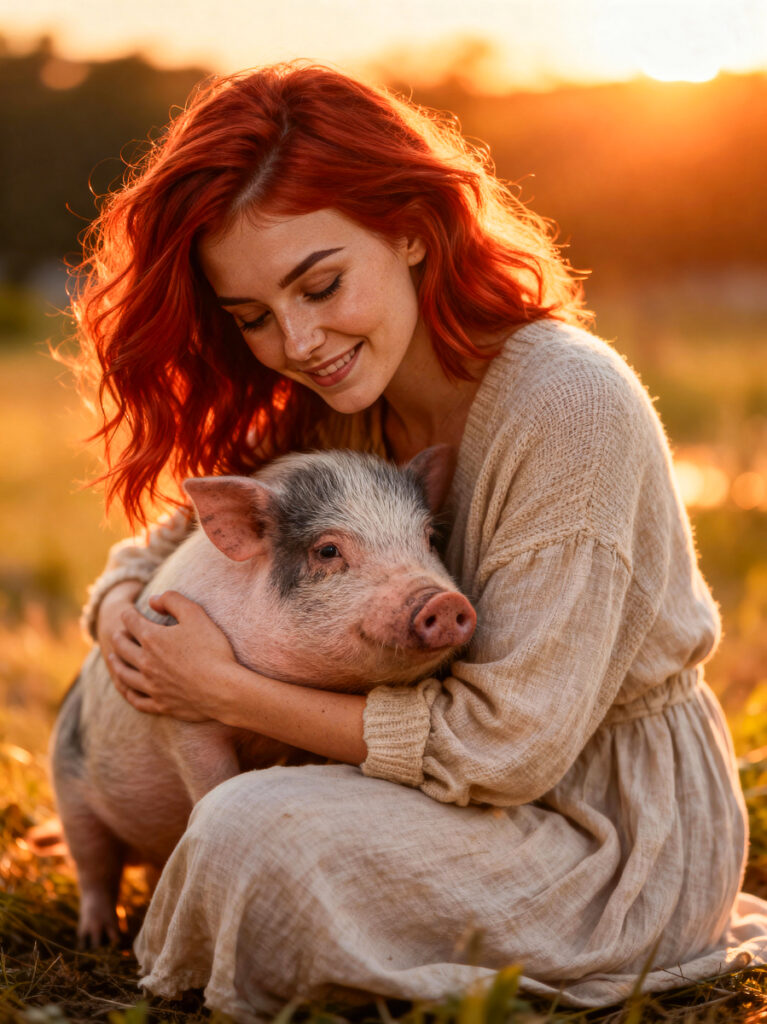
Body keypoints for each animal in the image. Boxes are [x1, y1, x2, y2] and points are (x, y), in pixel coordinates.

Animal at [50, 448, 476, 946]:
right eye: (327, 550)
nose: (444, 602)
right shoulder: (182, 719)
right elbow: (213, 781)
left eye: (429, 538)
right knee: (94, 867)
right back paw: (100, 938)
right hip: (69, 788)